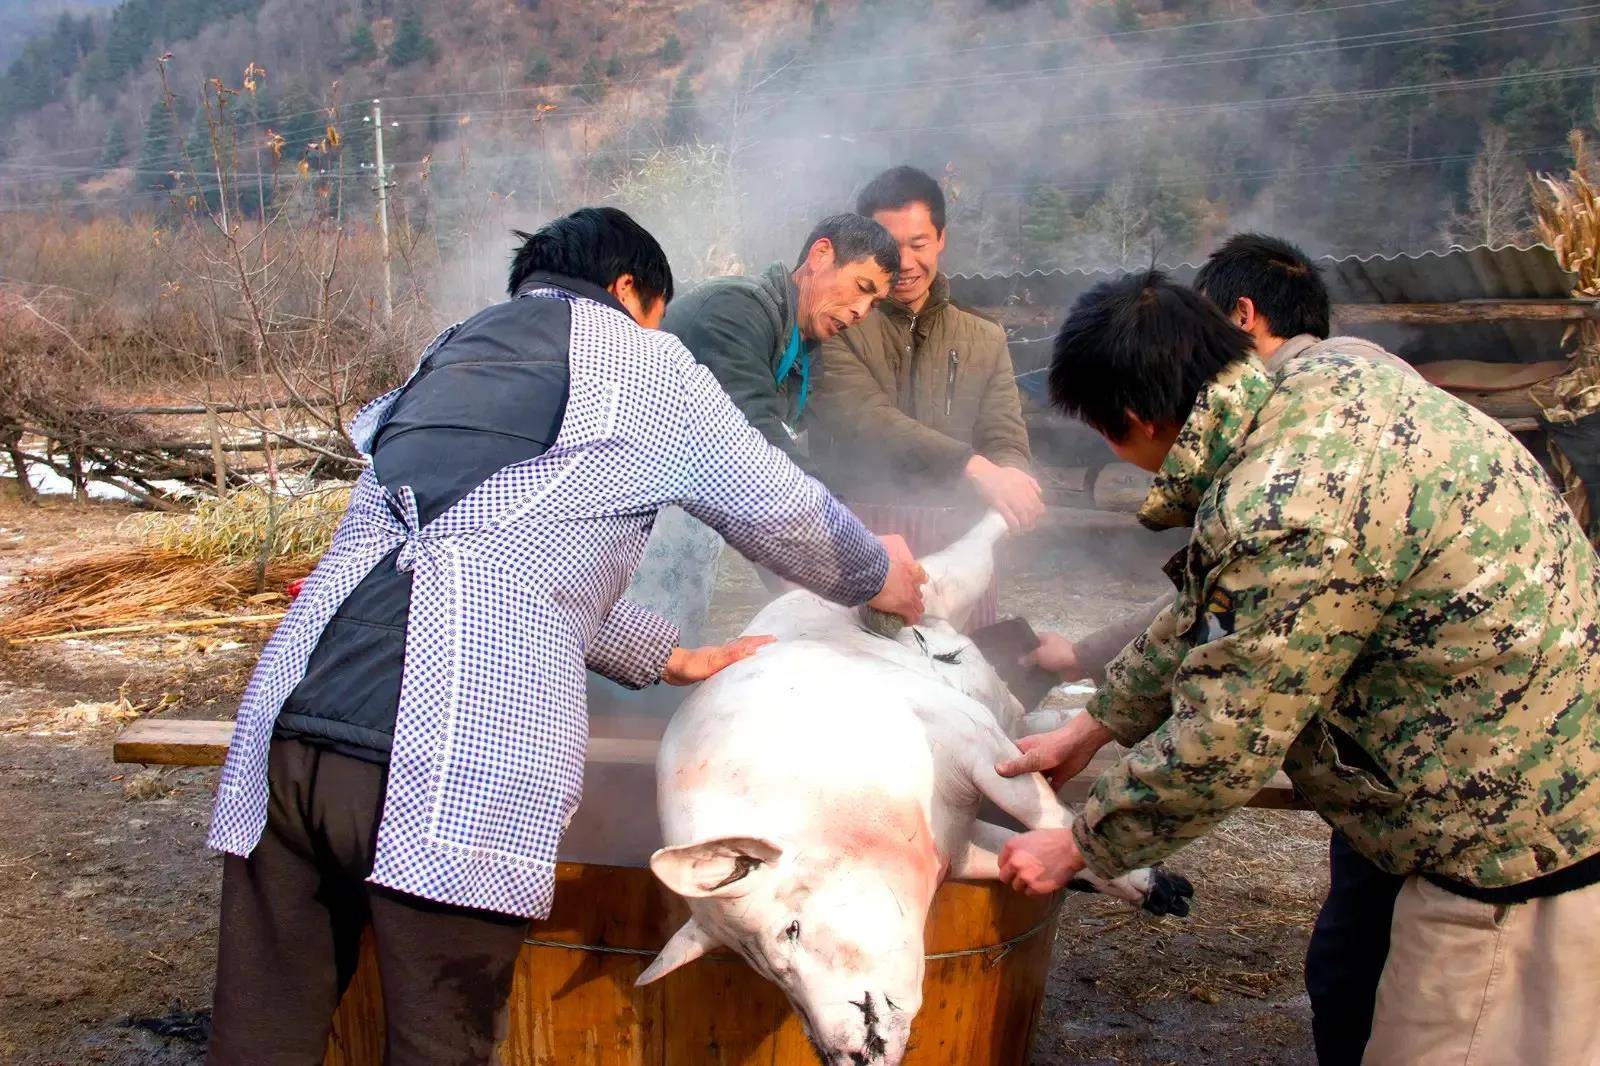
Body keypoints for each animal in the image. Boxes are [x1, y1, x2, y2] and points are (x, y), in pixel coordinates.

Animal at [636, 512, 1190, 1056]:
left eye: (790, 928)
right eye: (755, 963)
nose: (842, 1054)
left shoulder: (969, 736)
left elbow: (1045, 814)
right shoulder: (959, 841)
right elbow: (1021, 849)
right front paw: (1170, 894)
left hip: (941, 589)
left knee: (970, 555)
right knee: (1043, 719)